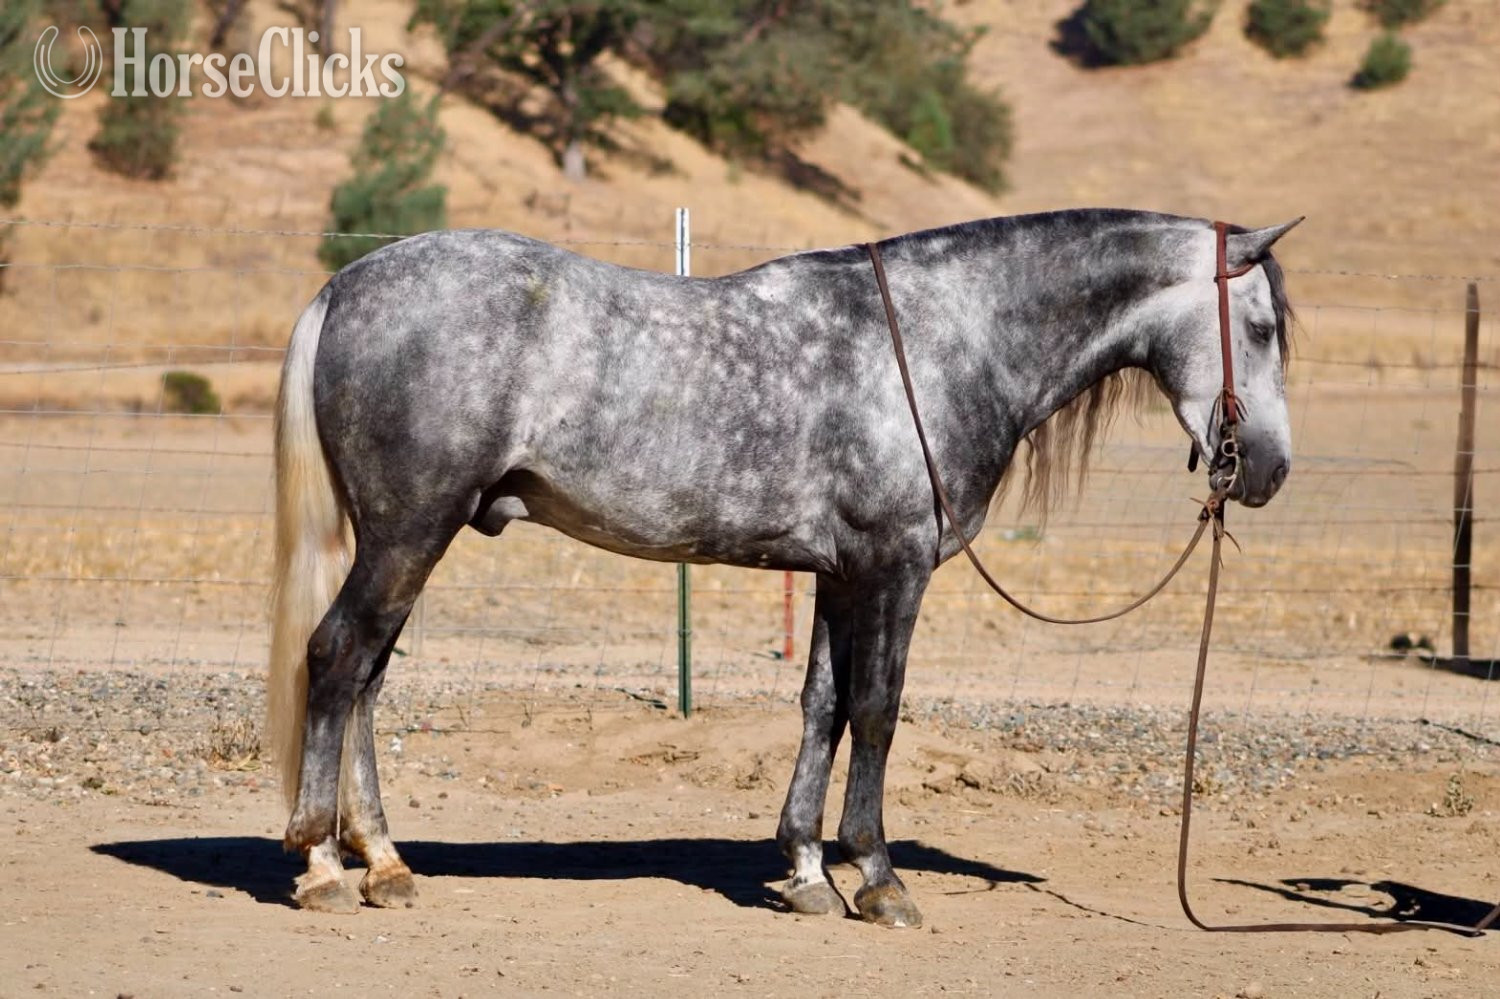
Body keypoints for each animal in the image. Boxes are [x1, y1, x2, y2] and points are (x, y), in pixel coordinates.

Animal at [266, 208, 1299, 926]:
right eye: (1259, 328)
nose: (1271, 470)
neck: (939, 339)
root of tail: (345, 284)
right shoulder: (893, 570)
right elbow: (877, 712)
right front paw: (878, 878)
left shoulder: (840, 576)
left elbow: (822, 706)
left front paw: (806, 871)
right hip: (409, 534)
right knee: (337, 659)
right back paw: (321, 867)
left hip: (408, 541)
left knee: (367, 677)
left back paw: (384, 861)